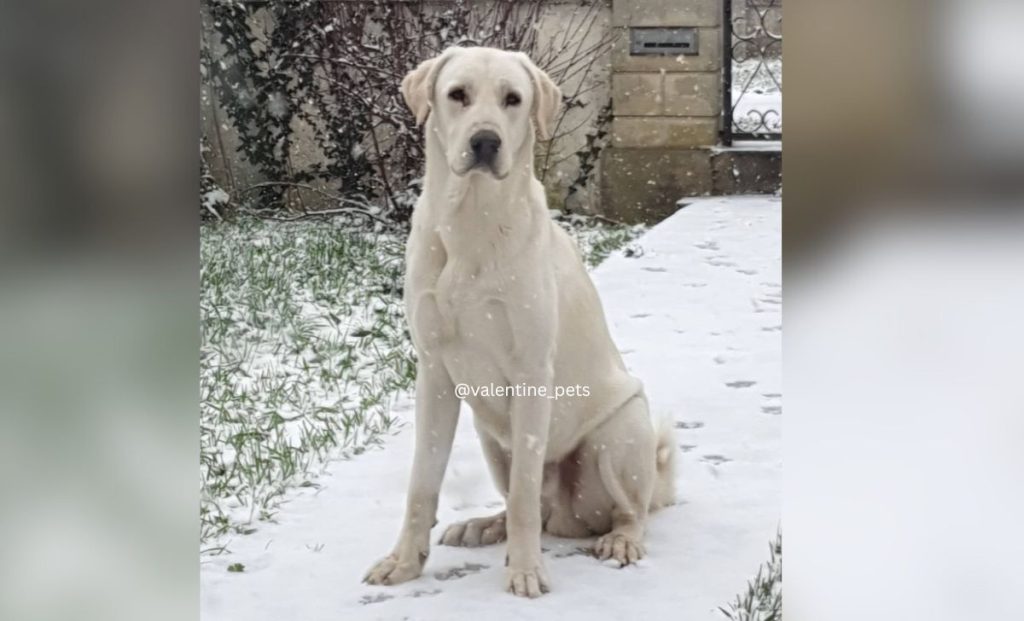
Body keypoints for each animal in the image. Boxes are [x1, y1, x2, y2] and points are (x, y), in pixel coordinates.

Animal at [364, 46, 675, 602]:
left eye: (513, 99)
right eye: (458, 94)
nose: (485, 141)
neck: (471, 221)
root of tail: (573, 520)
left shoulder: (531, 376)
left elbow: (527, 492)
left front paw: (526, 570)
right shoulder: (435, 375)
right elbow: (423, 484)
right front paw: (404, 562)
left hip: (621, 430)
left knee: (628, 510)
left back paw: (620, 540)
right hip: (491, 436)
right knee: (521, 504)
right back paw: (485, 525)